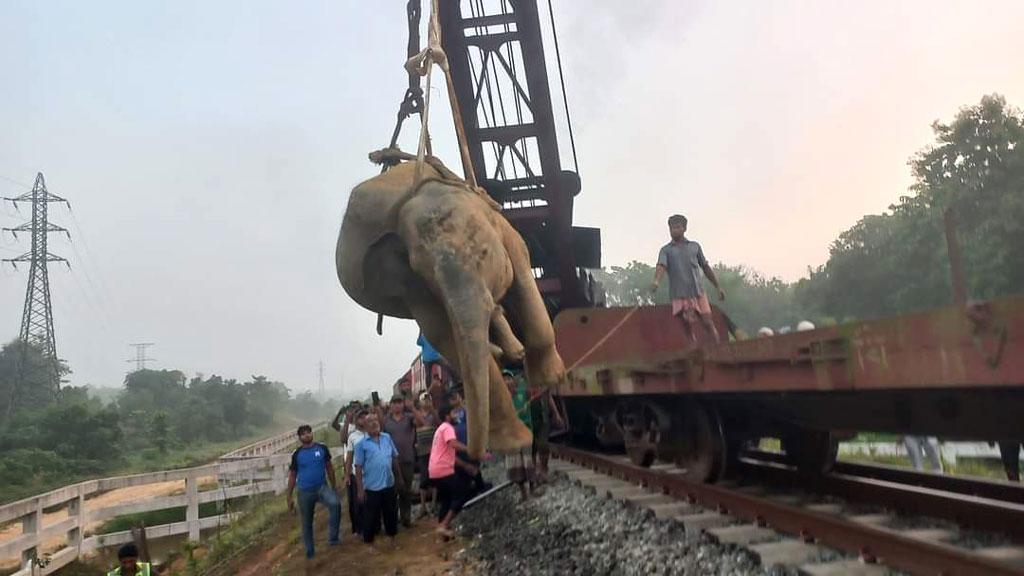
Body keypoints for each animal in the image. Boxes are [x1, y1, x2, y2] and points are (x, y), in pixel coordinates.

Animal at [335, 151, 569, 457]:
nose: (467, 449)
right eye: (427, 272)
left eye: (483, 253)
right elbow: (441, 332)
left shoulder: (503, 228)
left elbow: (521, 264)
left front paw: (550, 380)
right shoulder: (407, 282)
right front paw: (514, 443)